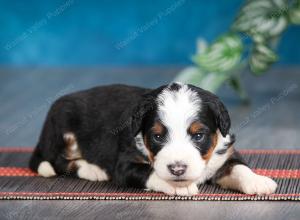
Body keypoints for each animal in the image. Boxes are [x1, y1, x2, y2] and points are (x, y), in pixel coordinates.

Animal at [29, 83, 276, 196]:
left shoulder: (223, 153)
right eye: (157, 136)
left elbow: (239, 168)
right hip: (62, 127)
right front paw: (178, 185)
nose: (178, 169)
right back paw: (93, 170)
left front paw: (259, 181)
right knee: (58, 162)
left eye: (198, 135)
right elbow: (150, 172)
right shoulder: (124, 163)